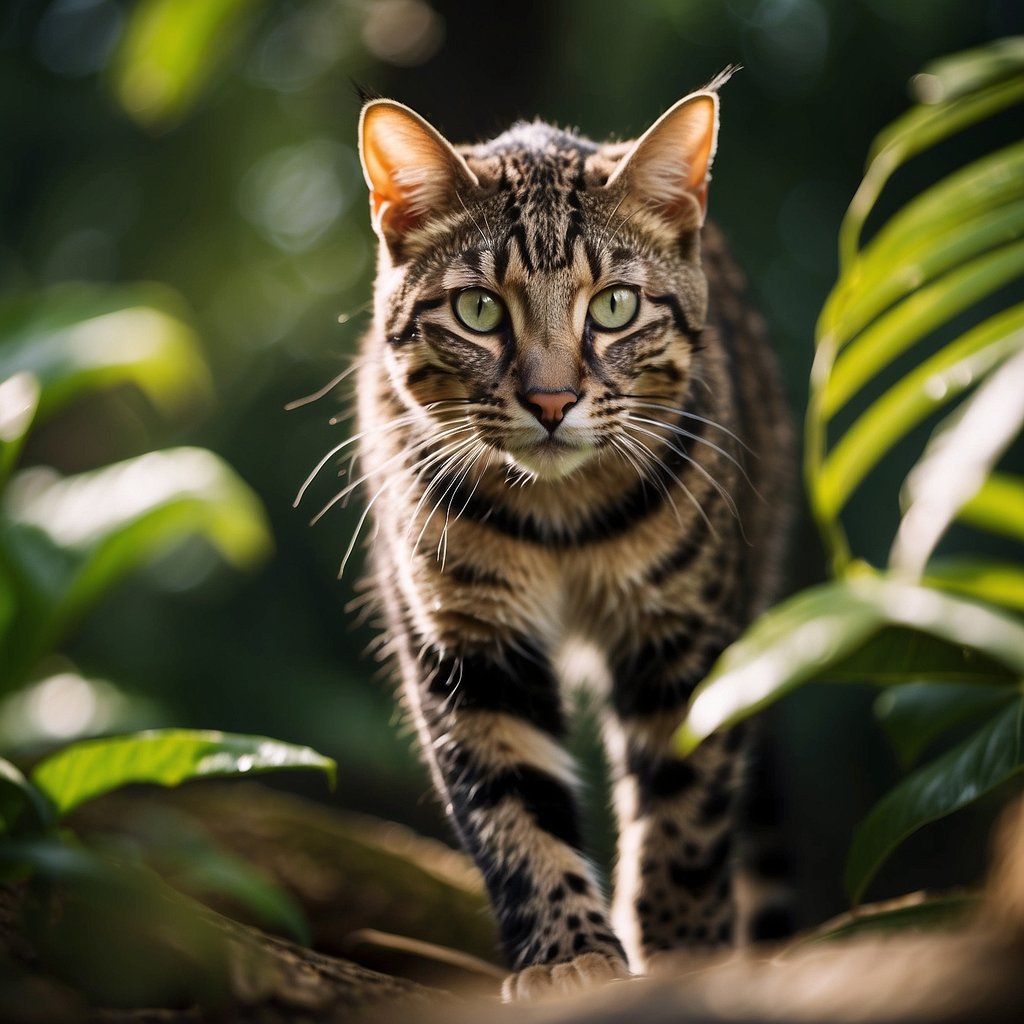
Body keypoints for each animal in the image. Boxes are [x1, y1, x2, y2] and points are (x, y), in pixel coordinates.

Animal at [344, 74, 790, 999]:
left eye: (614, 305)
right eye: (478, 310)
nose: (551, 400)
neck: (562, 522)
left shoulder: (684, 633)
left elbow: (685, 816)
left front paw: (682, 951)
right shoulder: (465, 643)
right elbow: (512, 807)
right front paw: (569, 952)